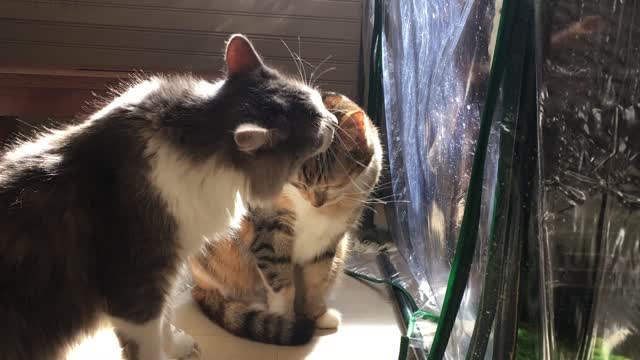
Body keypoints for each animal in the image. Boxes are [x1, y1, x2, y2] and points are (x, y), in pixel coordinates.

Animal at [0, 34, 338, 360]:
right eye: (317, 124)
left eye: (318, 102)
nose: (334, 121)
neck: (201, 132)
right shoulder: (137, 289)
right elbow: (149, 343)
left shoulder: (170, 268)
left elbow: (165, 320)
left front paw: (179, 346)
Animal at [189, 93, 380, 346]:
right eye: (299, 184)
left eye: (332, 185)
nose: (316, 202)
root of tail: (196, 284)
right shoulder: (271, 227)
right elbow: (281, 281)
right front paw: (285, 320)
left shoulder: (330, 240)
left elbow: (317, 281)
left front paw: (316, 315)